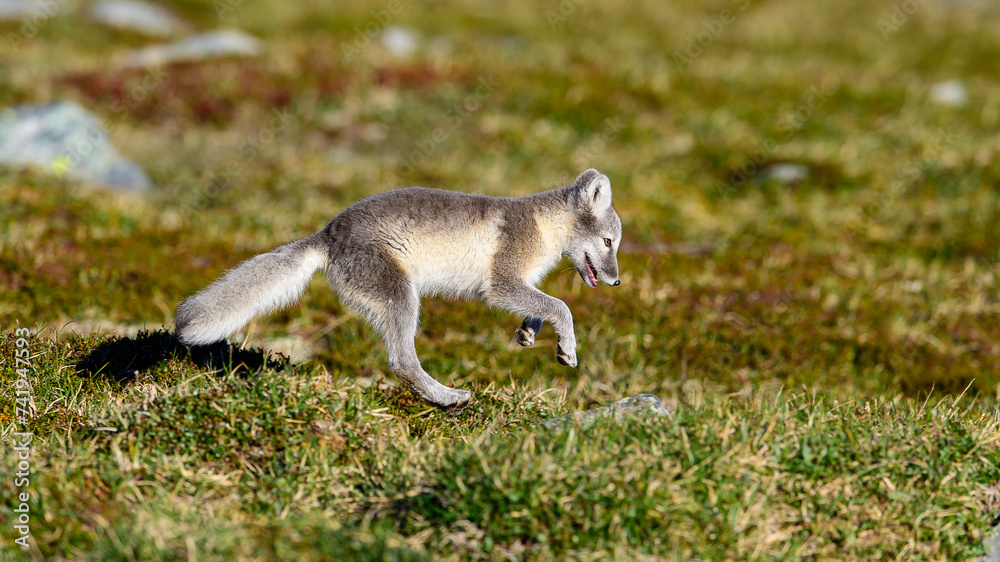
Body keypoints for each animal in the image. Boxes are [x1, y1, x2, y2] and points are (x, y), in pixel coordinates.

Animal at [174, 168, 622, 411]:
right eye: (608, 242)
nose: (617, 282)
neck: (545, 226)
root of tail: (326, 235)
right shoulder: (502, 281)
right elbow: (560, 305)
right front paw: (568, 348)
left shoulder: (522, 283)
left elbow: (542, 305)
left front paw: (529, 333)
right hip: (399, 293)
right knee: (402, 361)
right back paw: (448, 397)